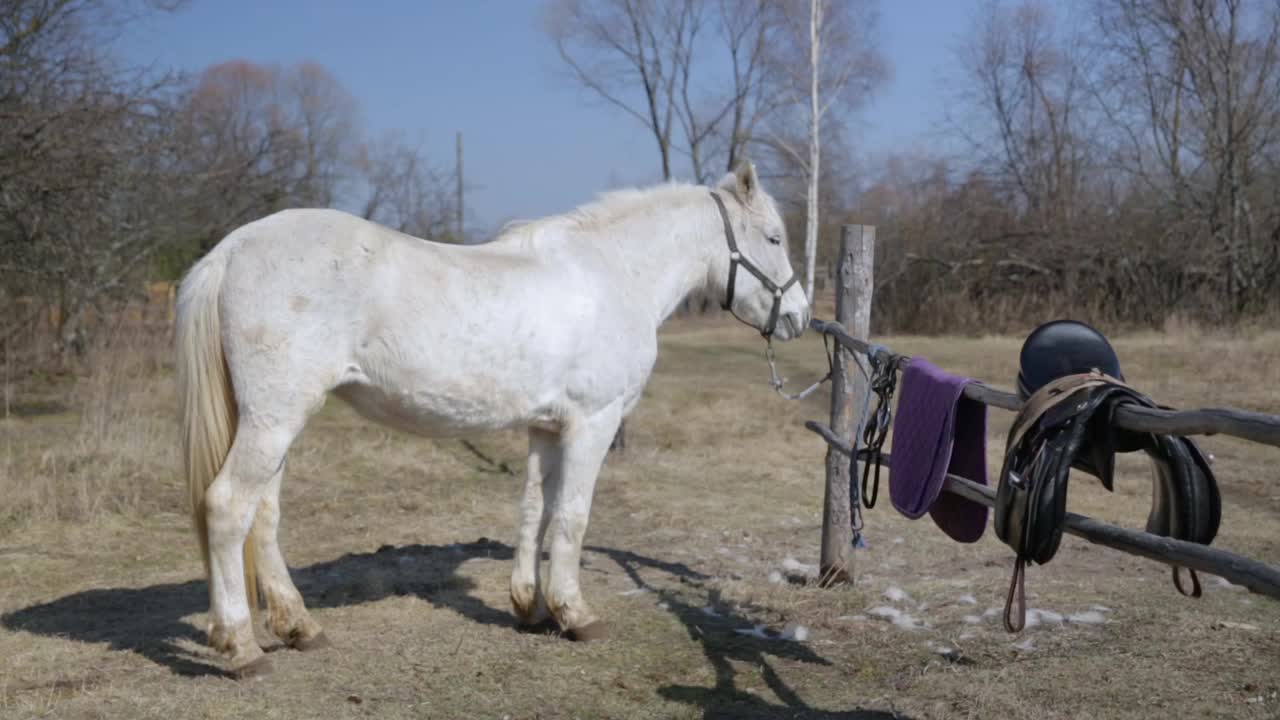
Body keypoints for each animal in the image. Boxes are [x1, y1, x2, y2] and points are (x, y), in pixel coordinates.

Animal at [175, 159, 803, 676]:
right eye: (773, 237)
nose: (797, 316)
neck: (614, 273)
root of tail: (232, 249)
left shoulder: (546, 427)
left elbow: (534, 511)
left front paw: (531, 606)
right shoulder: (592, 424)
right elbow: (572, 517)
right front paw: (576, 615)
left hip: (274, 420)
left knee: (264, 516)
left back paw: (300, 627)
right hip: (275, 417)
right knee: (228, 507)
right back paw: (242, 647)